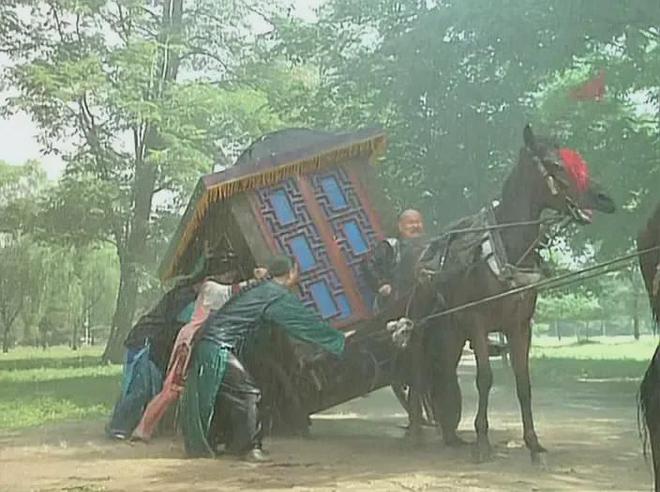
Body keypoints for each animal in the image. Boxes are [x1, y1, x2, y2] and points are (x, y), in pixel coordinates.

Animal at [416, 125, 616, 464]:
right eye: (556, 165)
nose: (605, 198)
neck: (506, 250)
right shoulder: (477, 321)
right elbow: (485, 379)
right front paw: (483, 441)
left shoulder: (520, 326)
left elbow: (523, 382)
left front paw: (533, 443)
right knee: (422, 374)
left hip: (451, 330)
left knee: (441, 371)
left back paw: (450, 433)